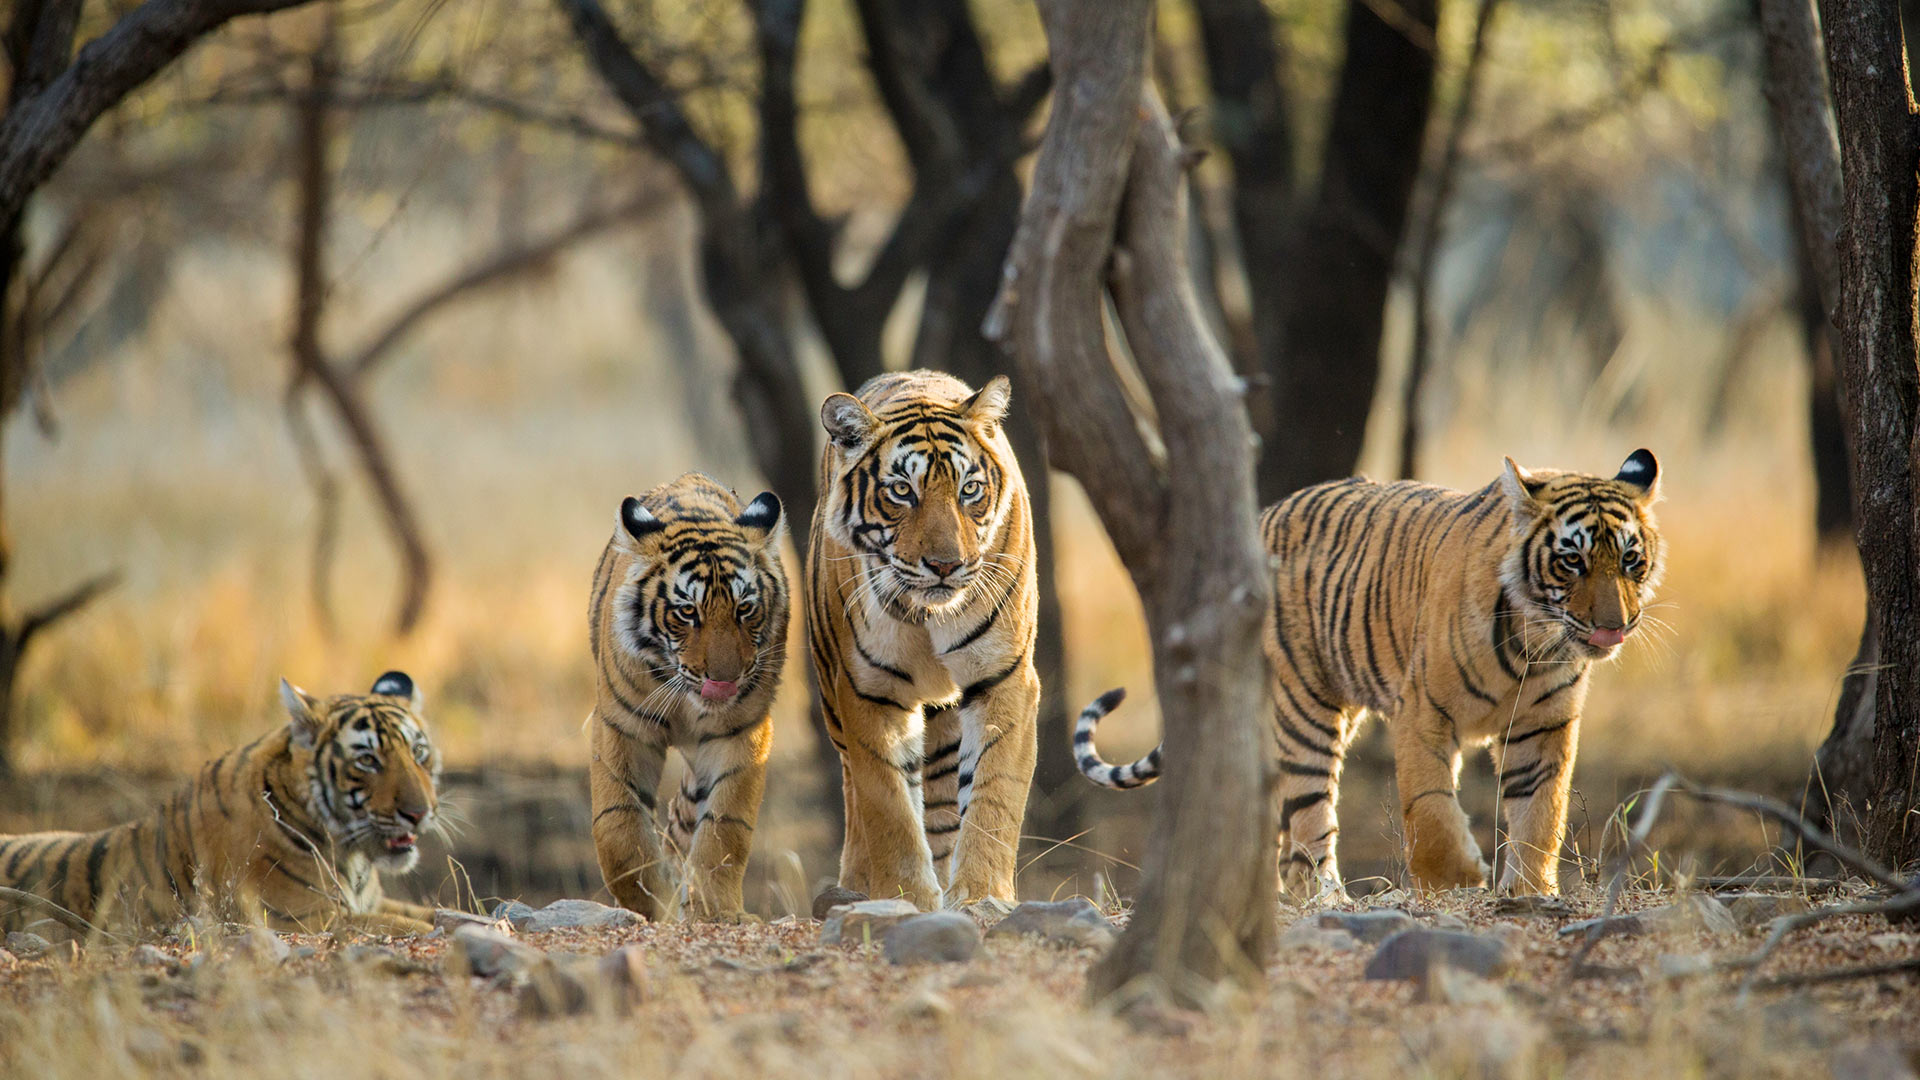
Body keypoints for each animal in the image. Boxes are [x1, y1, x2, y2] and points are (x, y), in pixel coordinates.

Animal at [0, 671, 440, 937]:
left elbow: (436, 913)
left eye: (419, 753)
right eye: (368, 760)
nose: (419, 814)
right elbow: (413, 925)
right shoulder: (305, 918)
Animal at [587, 472, 788, 922]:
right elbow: (618, 829)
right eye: (687, 612)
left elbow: (725, 828)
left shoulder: (741, 732)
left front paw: (715, 911)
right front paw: (651, 903)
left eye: (744, 609)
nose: (724, 681)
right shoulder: (622, 727)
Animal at [807, 370, 1040, 910]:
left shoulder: (1004, 678)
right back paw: (854, 884)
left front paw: (981, 895)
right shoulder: (869, 691)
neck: (927, 614)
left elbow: (994, 794)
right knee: (857, 794)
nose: (945, 565)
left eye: (969, 489)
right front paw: (906, 897)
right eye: (901, 491)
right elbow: (888, 806)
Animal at [1073, 450, 1665, 896]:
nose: (1614, 626)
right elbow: (1429, 807)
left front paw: (1530, 891)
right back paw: (1325, 897)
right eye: (1572, 561)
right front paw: (1456, 880)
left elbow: (1542, 812)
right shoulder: (1422, 711)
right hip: (1305, 707)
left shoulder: (1543, 726)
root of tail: (1261, 517)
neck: (1534, 642)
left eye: (1630, 560)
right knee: (1309, 818)